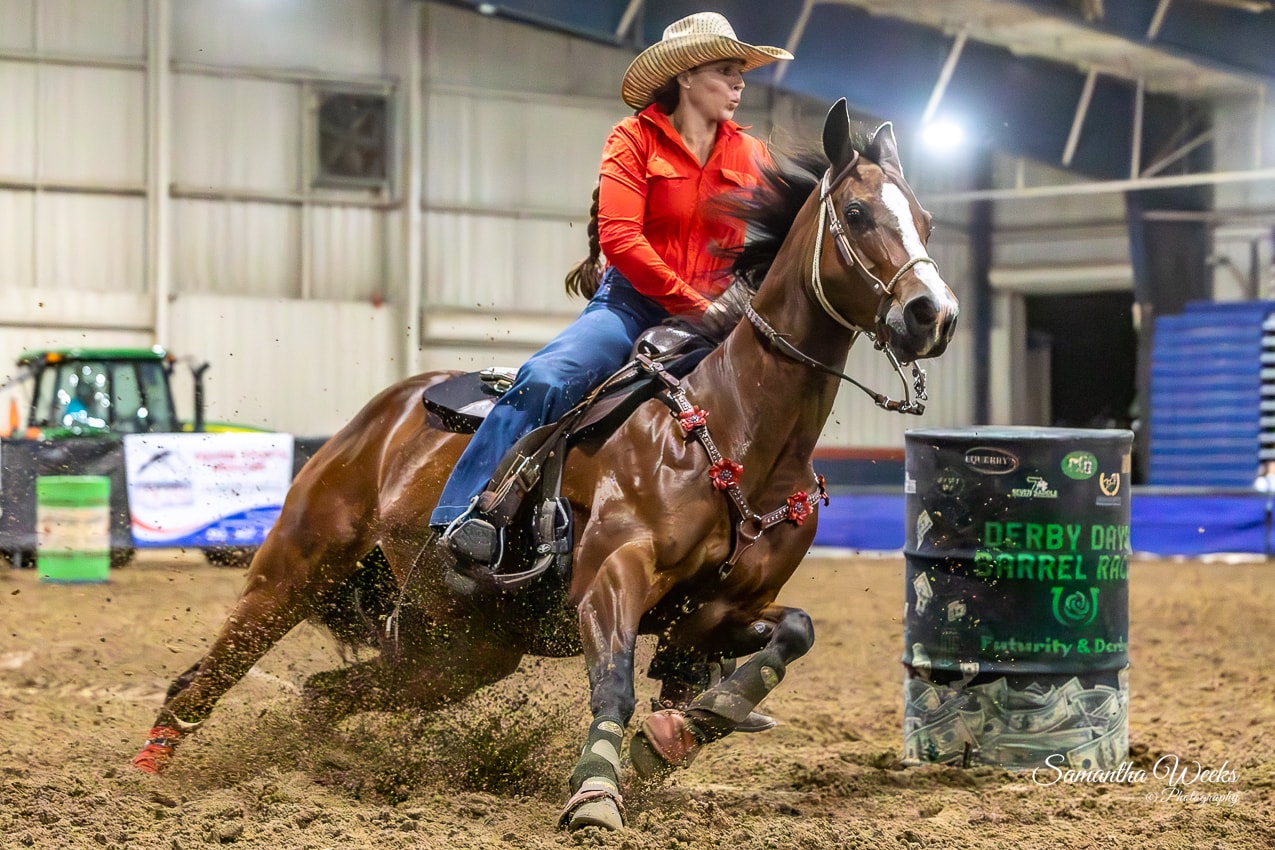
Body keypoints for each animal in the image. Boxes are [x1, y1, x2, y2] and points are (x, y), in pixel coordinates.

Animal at [130, 99, 959, 832]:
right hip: (294, 569)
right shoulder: (610, 577)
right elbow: (615, 687)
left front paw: (687, 728)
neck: (735, 425)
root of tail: (375, 417)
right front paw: (596, 793)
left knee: (327, 692)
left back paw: (320, 767)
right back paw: (149, 774)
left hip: (456, 653)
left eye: (923, 221)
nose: (934, 314)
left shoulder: (717, 611)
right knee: (205, 679)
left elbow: (794, 635)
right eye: (858, 213)